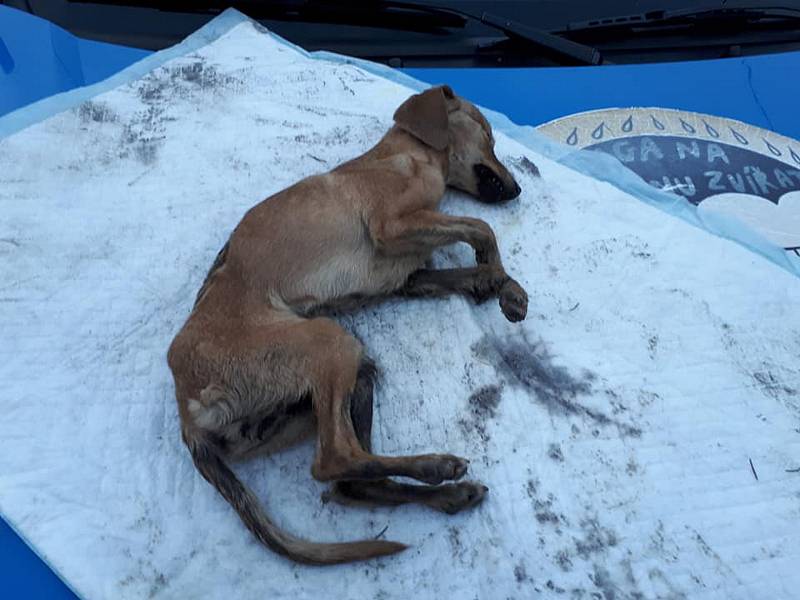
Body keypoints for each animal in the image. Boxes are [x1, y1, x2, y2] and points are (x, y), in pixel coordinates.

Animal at [167, 85, 532, 568]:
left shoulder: (409, 278)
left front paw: (505, 286)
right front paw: (500, 280)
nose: (517, 189)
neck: (407, 156)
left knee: (350, 483)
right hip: (329, 341)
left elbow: (473, 256)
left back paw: (448, 494)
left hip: (351, 374)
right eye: (488, 135)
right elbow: (480, 226)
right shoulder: (391, 226)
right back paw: (436, 466)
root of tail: (187, 412)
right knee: (332, 461)